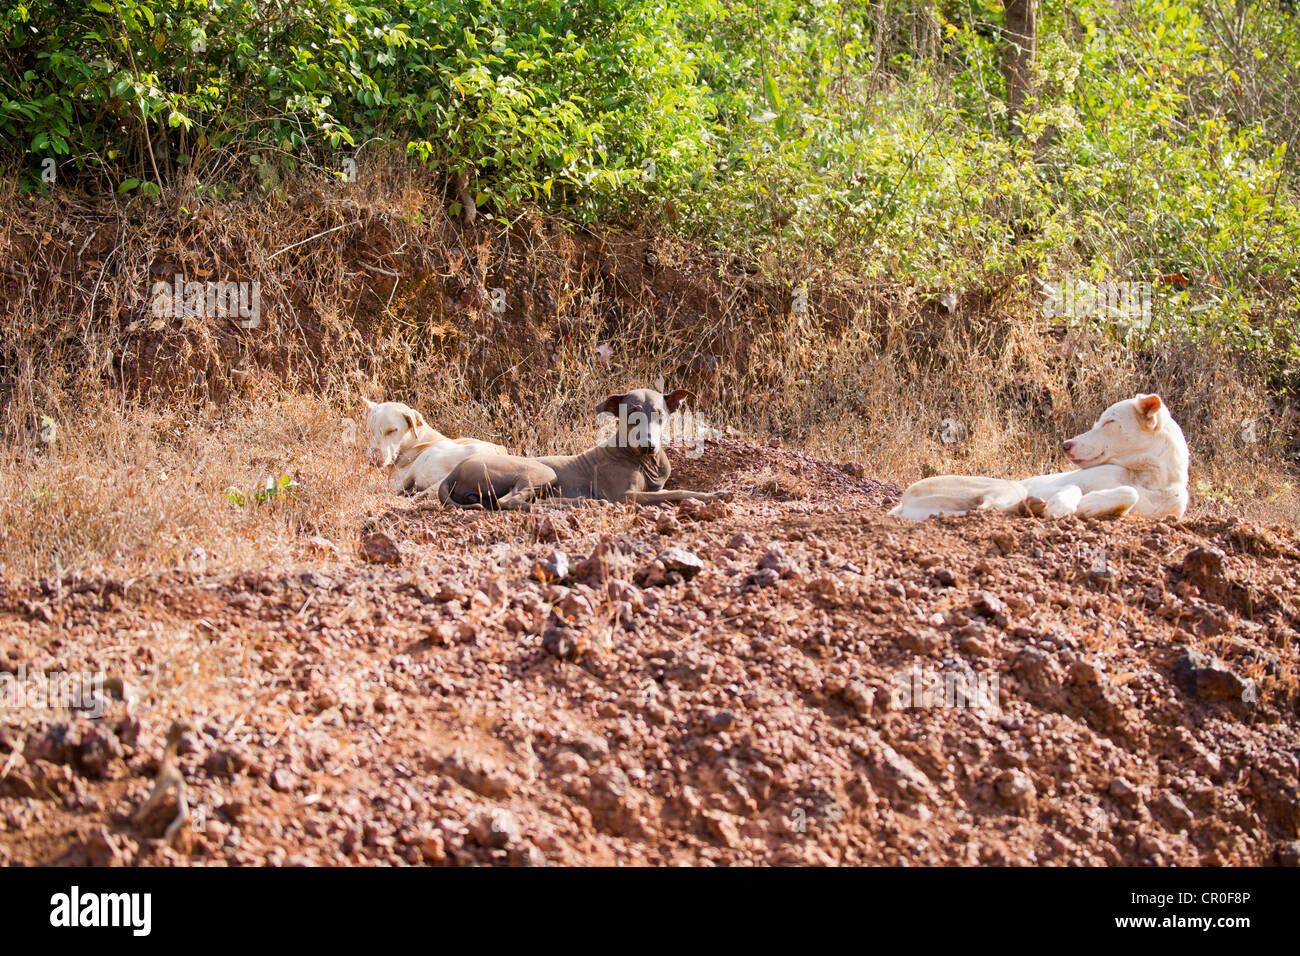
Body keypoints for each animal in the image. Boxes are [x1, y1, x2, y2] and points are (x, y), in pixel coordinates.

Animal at [441, 387, 738, 512]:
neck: (641, 460)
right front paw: (716, 495)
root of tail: (452, 473)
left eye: (660, 415)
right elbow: (678, 491)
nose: (649, 445)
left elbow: (669, 489)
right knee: (510, 501)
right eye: (631, 414)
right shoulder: (624, 496)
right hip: (540, 470)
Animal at [894, 392, 1190, 520]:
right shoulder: (1062, 483)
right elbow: (1086, 489)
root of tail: (902, 505)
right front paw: (1069, 505)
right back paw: (1034, 505)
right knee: (987, 509)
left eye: (1109, 422)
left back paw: (1030, 507)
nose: (1065, 444)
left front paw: (1091, 506)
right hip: (1006, 486)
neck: (1150, 480)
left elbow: (1128, 495)